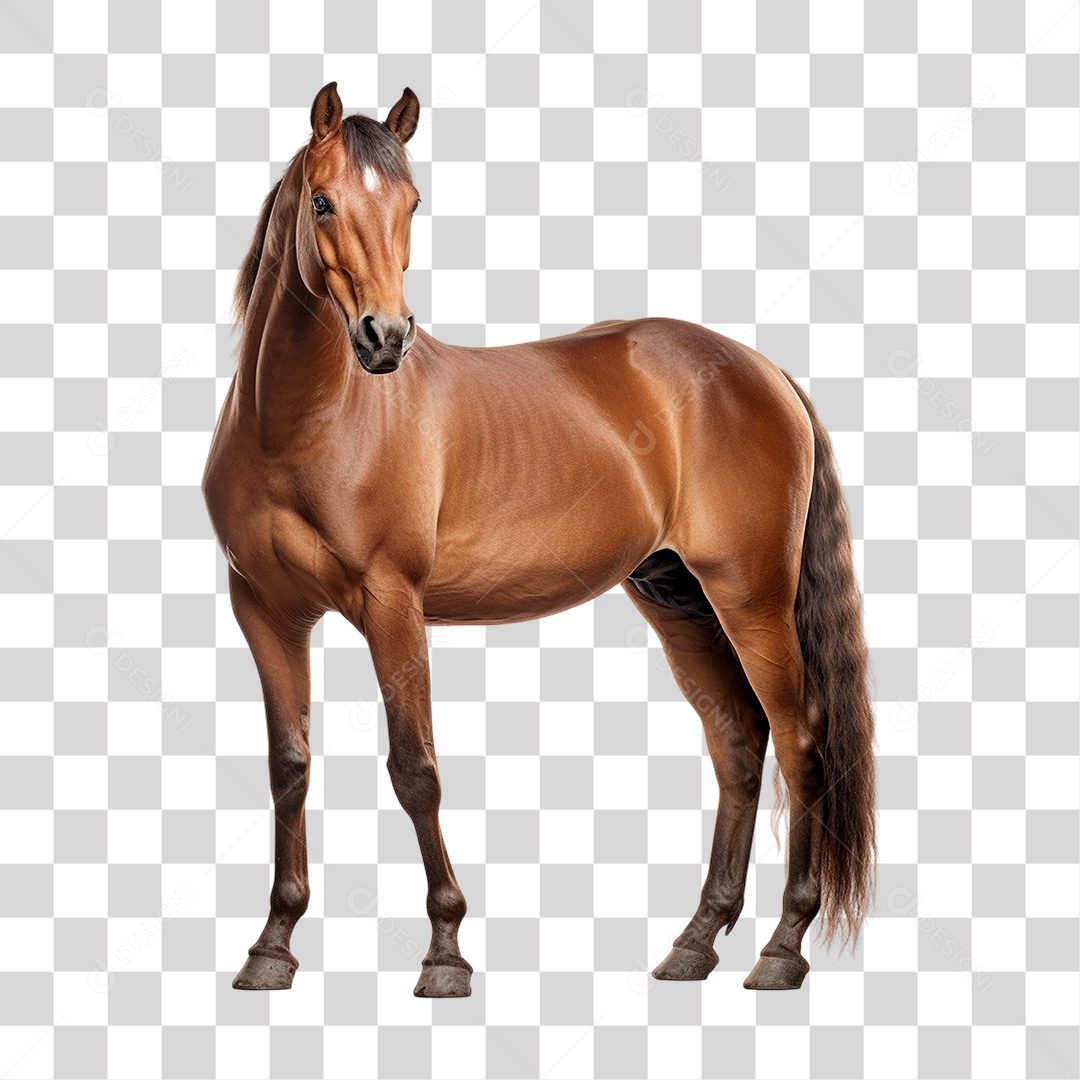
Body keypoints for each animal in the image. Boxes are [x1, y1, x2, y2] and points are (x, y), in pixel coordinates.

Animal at [202, 83, 876, 999]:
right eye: (322, 202)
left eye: (412, 203)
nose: (386, 337)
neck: (302, 423)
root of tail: (760, 370)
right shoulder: (265, 611)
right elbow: (288, 768)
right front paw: (272, 945)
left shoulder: (392, 605)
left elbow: (415, 771)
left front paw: (445, 953)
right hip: (678, 598)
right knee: (738, 742)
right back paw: (696, 942)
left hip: (752, 596)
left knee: (801, 738)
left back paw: (783, 947)